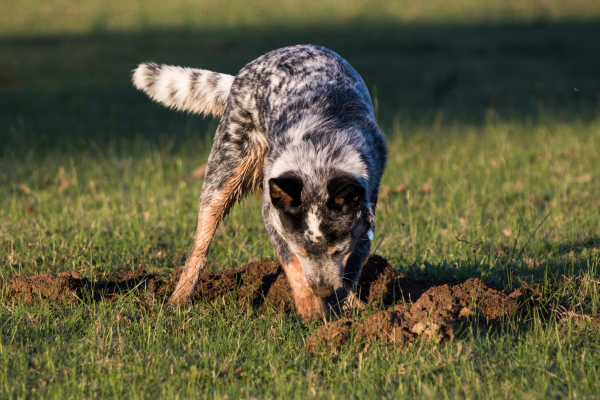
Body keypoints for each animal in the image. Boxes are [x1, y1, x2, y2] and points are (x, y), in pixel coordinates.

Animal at [133, 44, 386, 322]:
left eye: (337, 251)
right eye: (300, 250)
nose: (321, 290)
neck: (320, 153)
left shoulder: (365, 221)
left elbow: (350, 270)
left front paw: (342, 310)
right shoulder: (274, 218)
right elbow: (293, 267)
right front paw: (311, 310)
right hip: (224, 175)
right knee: (199, 247)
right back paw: (179, 299)